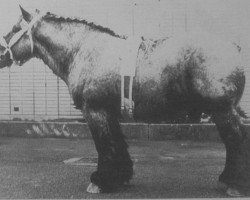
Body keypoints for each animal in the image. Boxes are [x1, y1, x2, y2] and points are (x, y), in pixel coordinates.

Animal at [0, 6, 250, 197]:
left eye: (14, 29)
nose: (1, 54)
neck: (83, 49)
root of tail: (234, 47)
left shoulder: (95, 111)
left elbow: (104, 145)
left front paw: (100, 181)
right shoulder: (109, 112)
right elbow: (117, 143)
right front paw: (120, 177)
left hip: (222, 110)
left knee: (235, 141)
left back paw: (234, 183)